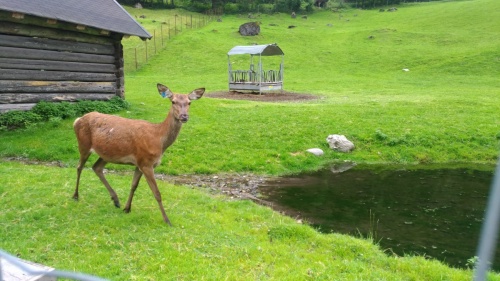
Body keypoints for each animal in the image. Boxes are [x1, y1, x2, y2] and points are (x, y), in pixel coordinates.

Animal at [71, 83, 204, 225]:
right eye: (173, 101)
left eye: (189, 102)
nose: (184, 116)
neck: (159, 140)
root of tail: (77, 120)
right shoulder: (146, 162)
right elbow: (157, 192)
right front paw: (167, 220)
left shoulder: (139, 162)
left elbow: (134, 185)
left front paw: (127, 208)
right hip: (83, 144)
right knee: (79, 167)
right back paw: (76, 196)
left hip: (107, 153)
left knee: (96, 167)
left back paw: (116, 200)